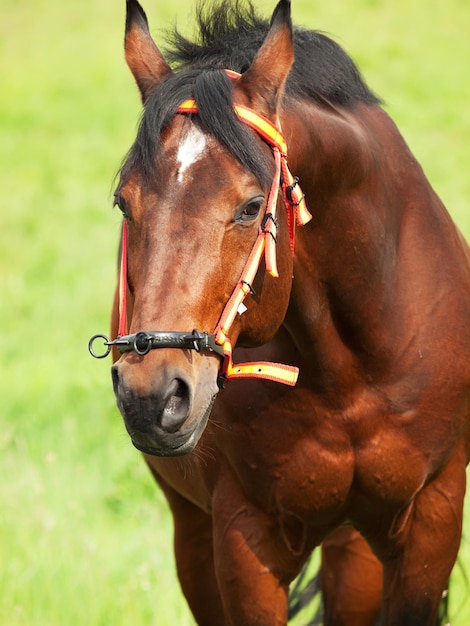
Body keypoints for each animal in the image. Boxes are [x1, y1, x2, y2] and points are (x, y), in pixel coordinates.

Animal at [90, 0, 470, 620]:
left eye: (250, 206)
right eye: (126, 202)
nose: (152, 394)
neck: (347, 373)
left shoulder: (431, 521)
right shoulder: (244, 537)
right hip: (193, 531)